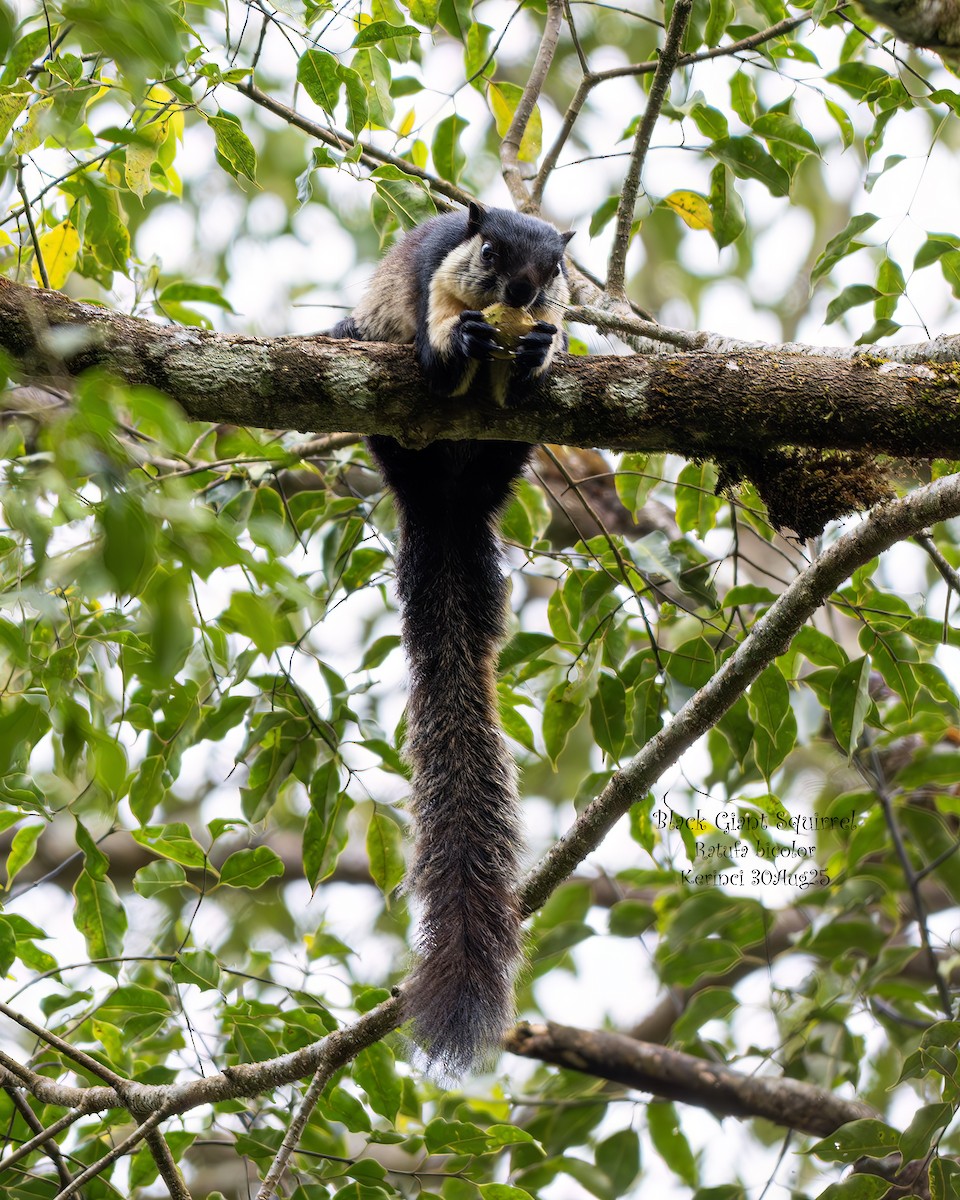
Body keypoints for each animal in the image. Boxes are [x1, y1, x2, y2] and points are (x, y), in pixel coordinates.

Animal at [331, 201, 574, 1076]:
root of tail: (443, 504)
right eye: (490, 250)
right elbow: (434, 348)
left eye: (556, 268)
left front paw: (535, 350)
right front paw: (459, 344)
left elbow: (548, 352)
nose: (523, 292)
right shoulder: (432, 279)